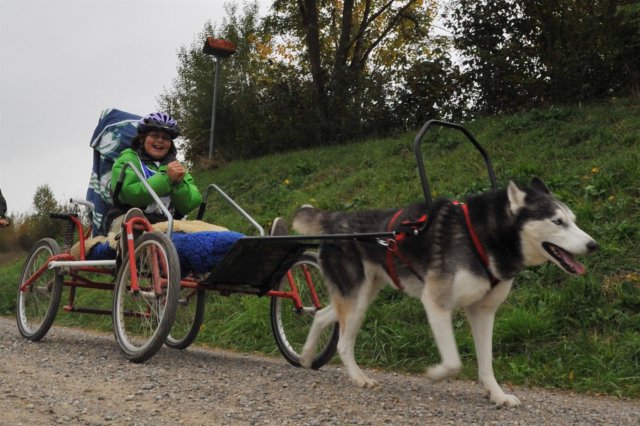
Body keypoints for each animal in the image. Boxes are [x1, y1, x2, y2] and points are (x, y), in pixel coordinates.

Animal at [292, 178, 596, 408]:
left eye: (573, 220)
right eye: (557, 221)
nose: (593, 245)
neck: (482, 236)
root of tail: (337, 218)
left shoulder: (483, 312)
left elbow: (486, 362)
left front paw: (496, 394)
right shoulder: (436, 304)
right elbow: (453, 362)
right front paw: (435, 375)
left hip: (362, 296)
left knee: (321, 315)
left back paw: (305, 356)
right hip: (356, 300)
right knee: (343, 343)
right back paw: (358, 378)